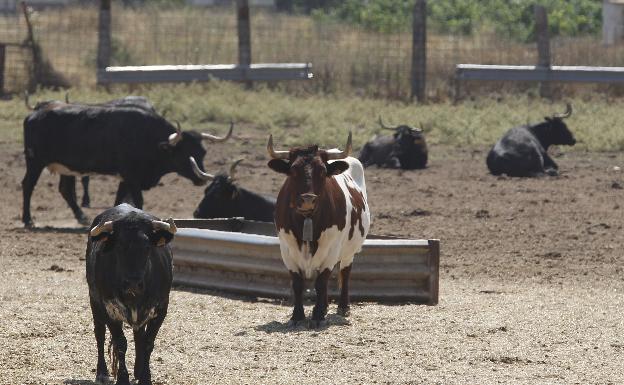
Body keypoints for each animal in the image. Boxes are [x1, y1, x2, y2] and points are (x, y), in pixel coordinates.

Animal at [86, 202, 176, 382]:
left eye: (147, 246)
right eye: (119, 245)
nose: (133, 283)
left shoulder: (161, 308)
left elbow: (148, 342)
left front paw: (145, 377)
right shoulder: (109, 309)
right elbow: (121, 343)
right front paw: (122, 378)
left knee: (139, 336)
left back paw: (138, 370)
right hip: (94, 301)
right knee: (99, 333)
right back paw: (102, 372)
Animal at [266, 133, 368, 328]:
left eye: (322, 170)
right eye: (293, 170)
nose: (307, 199)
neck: (307, 219)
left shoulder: (331, 248)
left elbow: (321, 282)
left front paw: (318, 315)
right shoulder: (286, 249)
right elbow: (298, 283)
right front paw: (298, 315)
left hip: (348, 250)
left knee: (344, 272)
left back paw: (343, 307)